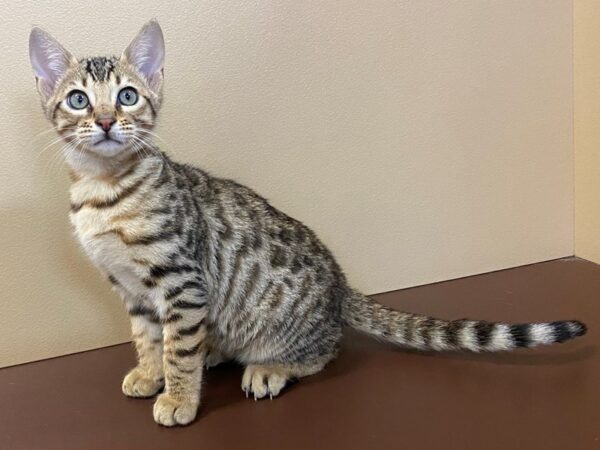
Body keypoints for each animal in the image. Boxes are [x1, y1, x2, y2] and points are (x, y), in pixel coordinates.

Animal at [29, 21, 584, 428]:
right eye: (79, 99)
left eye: (126, 96)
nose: (104, 121)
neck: (103, 191)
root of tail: (340, 283)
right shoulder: (132, 287)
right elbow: (147, 336)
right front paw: (150, 373)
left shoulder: (181, 280)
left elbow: (178, 348)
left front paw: (180, 397)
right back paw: (210, 352)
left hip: (282, 322)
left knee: (326, 349)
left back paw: (267, 367)